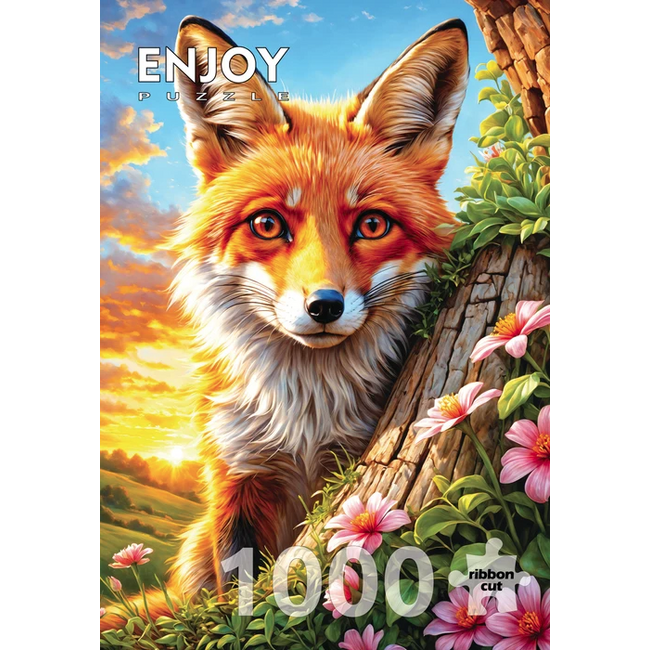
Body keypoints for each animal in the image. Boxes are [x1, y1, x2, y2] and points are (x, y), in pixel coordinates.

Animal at [102, 14, 469, 628]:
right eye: (268, 224)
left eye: (372, 225)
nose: (324, 306)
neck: (306, 418)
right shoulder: (239, 478)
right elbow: (240, 598)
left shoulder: (344, 465)